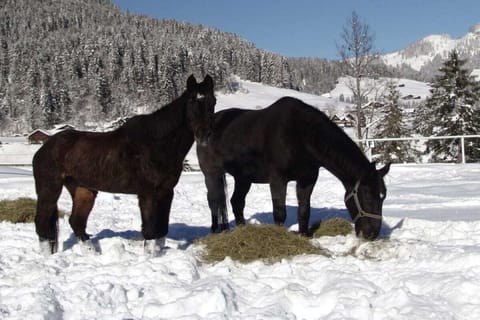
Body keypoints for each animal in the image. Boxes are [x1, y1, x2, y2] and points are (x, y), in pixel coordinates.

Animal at [34, 74, 218, 254]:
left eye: (212, 102)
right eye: (192, 101)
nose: (204, 134)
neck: (156, 143)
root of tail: (45, 147)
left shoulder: (166, 192)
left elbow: (161, 231)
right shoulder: (147, 194)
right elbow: (150, 231)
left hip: (83, 190)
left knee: (77, 223)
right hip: (49, 189)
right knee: (42, 224)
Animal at [199, 97, 390, 240]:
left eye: (383, 197)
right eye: (367, 195)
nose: (372, 234)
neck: (300, 135)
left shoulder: (308, 179)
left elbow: (304, 210)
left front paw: (304, 236)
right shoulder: (277, 179)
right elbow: (280, 212)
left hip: (243, 178)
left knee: (236, 202)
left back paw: (242, 230)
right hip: (211, 174)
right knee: (213, 201)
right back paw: (215, 231)